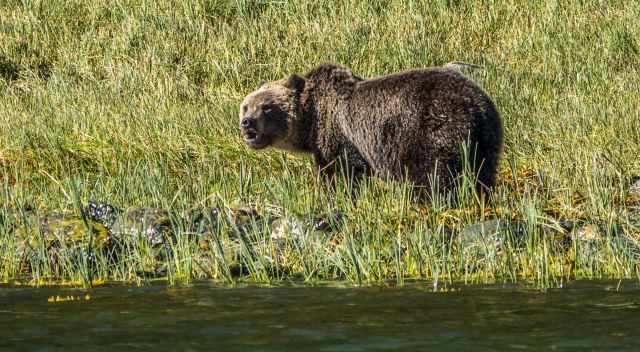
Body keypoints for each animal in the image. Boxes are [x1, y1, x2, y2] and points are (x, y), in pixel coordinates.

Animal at [238, 63, 502, 195]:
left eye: (267, 107)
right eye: (245, 106)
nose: (247, 122)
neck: (312, 118)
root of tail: (475, 107)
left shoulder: (339, 135)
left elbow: (341, 171)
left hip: (432, 131)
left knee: (434, 175)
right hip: (487, 138)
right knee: (482, 173)